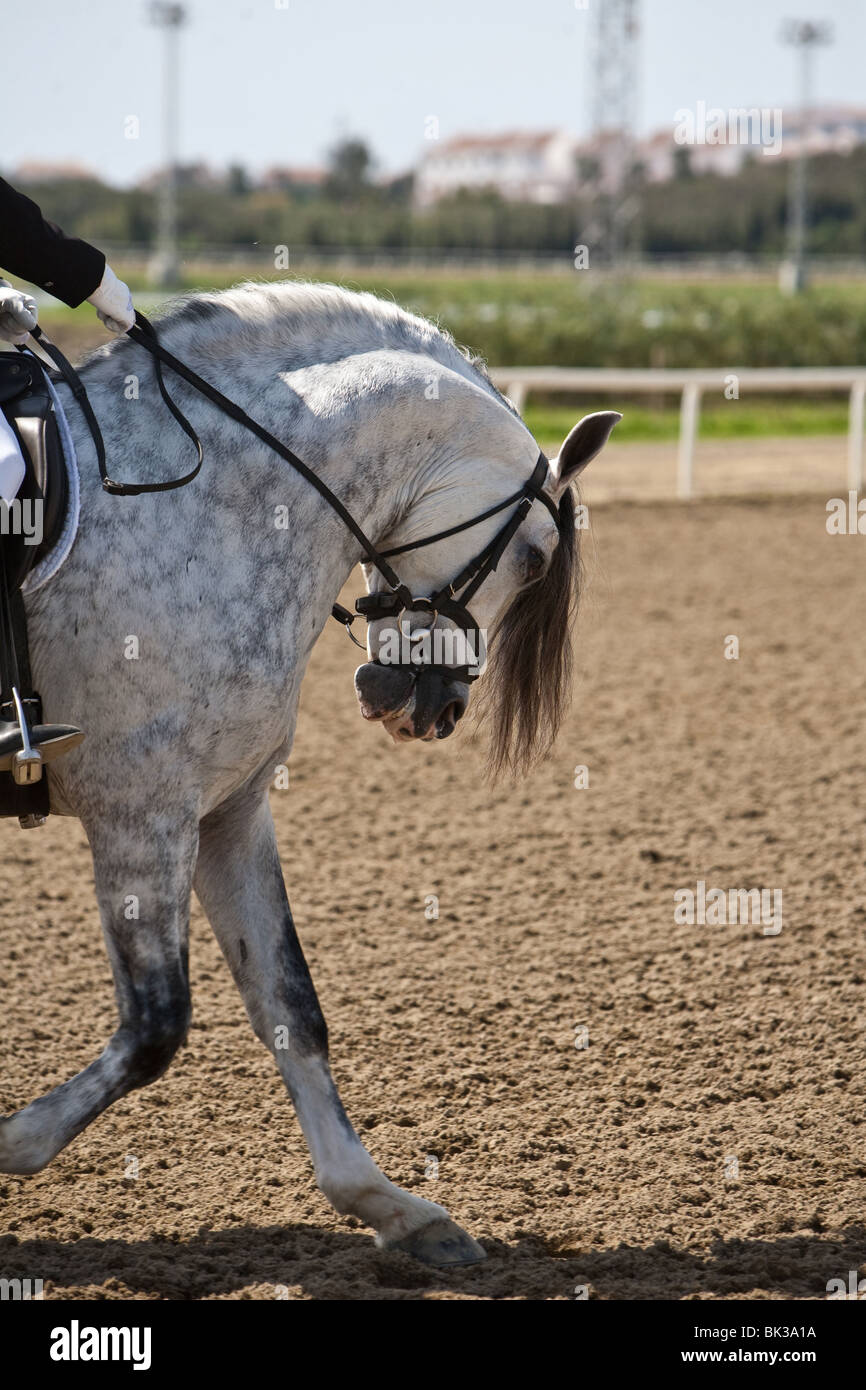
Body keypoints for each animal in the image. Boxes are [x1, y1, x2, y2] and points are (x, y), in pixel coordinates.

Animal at [1, 279, 622, 1262]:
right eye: (530, 557)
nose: (435, 710)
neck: (210, 500)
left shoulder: (226, 810)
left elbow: (292, 1005)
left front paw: (392, 1206)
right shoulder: (143, 807)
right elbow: (156, 1025)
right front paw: (12, 1142)